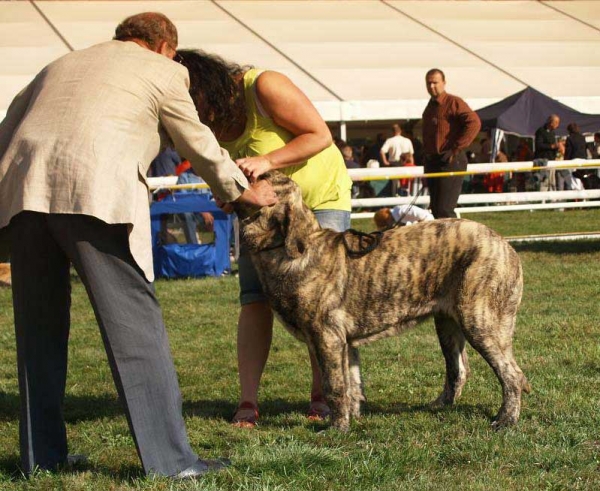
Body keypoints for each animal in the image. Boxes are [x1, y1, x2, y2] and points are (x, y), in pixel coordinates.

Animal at [234, 172, 528, 430]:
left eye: (261, 179)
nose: (245, 170)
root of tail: (505, 244)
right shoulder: (345, 342)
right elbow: (352, 384)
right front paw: (352, 419)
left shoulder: (327, 337)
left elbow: (334, 385)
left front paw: (337, 428)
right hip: (447, 324)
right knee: (458, 370)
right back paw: (439, 405)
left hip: (480, 321)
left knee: (512, 374)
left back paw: (506, 419)